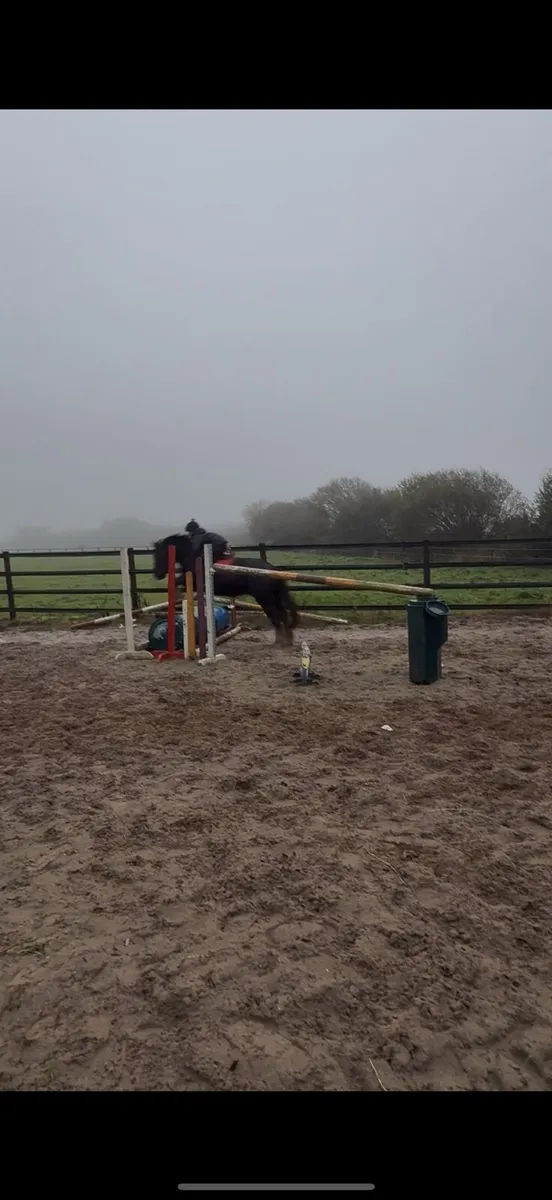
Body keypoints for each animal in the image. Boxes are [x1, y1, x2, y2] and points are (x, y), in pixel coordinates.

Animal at [152, 522, 300, 645]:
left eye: (159, 555)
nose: (157, 575)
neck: (191, 555)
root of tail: (273, 570)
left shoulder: (193, 580)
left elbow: (177, 582)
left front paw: (176, 596)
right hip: (274, 597)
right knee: (283, 615)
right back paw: (288, 640)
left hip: (264, 598)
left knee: (275, 616)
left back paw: (279, 641)